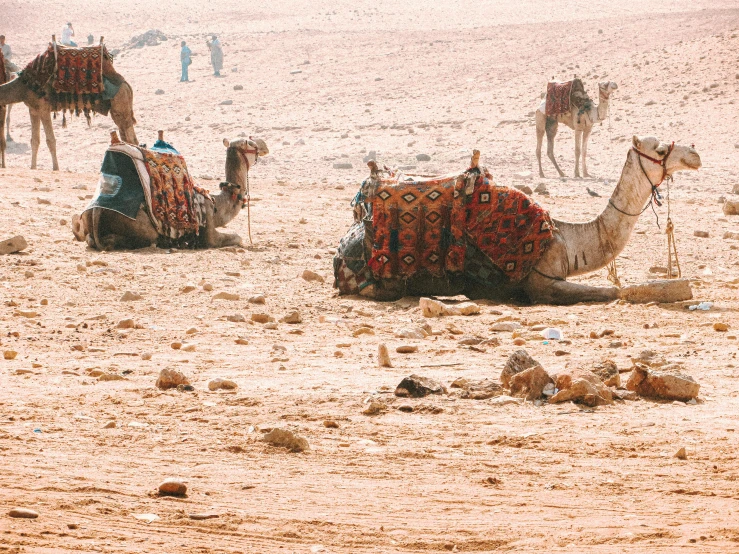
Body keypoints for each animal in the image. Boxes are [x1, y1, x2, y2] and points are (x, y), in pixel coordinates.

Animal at [0, 42, 137, 169]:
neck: (24, 85)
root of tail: (126, 85)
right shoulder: (33, 110)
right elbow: (34, 141)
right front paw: (33, 168)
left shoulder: (43, 108)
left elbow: (50, 140)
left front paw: (55, 169)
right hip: (117, 110)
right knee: (125, 136)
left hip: (121, 105)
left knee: (130, 137)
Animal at [71, 133, 268, 249]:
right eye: (251, 143)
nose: (265, 145)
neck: (216, 204)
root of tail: (97, 210)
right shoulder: (209, 231)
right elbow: (237, 237)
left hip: (88, 217)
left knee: (90, 238)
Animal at [338, 136, 704, 304]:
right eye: (659, 150)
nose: (695, 154)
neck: (566, 239)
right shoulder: (541, 282)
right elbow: (614, 291)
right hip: (380, 283)